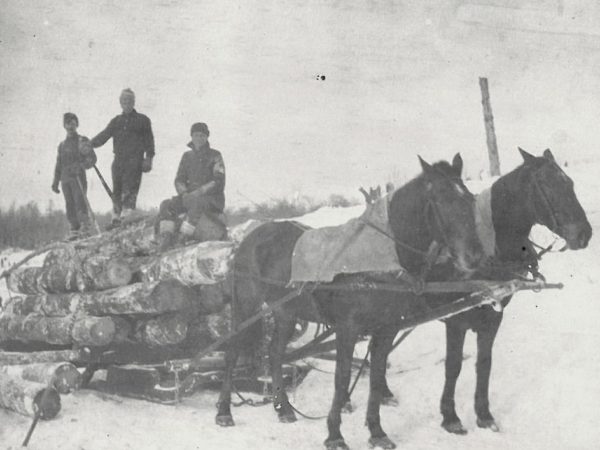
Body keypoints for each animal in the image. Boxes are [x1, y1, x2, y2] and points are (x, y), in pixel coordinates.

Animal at [217, 153, 488, 448]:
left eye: (469, 199)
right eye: (441, 200)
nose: (474, 257)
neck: (380, 260)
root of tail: (251, 237)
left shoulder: (387, 329)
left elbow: (376, 376)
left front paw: (377, 432)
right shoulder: (347, 329)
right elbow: (342, 377)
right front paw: (335, 434)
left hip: (286, 312)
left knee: (276, 352)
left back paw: (284, 409)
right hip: (247, 307)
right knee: (232, 351)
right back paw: (224, 412)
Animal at [394, 149, 592, 436]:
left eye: (570, 183)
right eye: (546, 185)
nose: (584, 235)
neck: (488, 252)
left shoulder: (493, 317)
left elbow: (484, 364)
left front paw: (484, 414)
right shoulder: (456, 320)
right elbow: (453, 366)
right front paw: (450, 416)